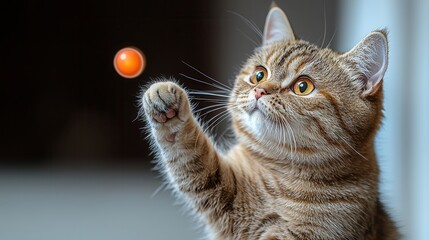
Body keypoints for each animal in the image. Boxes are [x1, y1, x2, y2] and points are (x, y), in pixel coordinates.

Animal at [140, 3, 398, 240]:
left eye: (303, 87)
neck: (282, 176)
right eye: (259, 75)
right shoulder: (221, 192)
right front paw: (166, 105)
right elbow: (189, 154)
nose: (259, 90)